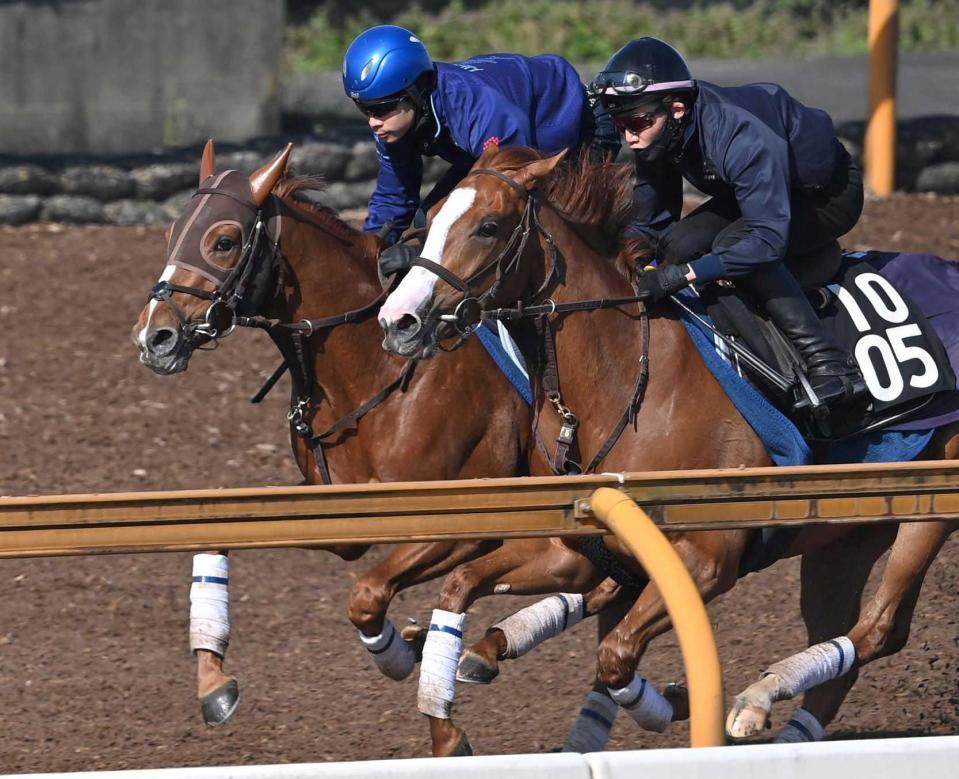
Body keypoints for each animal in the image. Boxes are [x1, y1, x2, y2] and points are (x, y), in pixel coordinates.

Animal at [130, 142, 544, 732]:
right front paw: (213, 681)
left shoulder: (468, 523)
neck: (376, 370)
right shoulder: (340, 514)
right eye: (171, 233)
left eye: (224, 240)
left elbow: (368, 597)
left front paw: (402, 654)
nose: (153, 336)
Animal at [378, 143, 956, 752]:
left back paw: (756, 697)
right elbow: (461, 586)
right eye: (429, 218)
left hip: (927, 514)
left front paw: (679, 702)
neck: (621, 379)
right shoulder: (574, 549)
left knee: (877, 629)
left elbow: (616, 655)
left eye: (488, 226)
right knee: (849, 639)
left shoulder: (708, 559)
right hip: (846, 535)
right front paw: (447, 723)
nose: (399, 321)